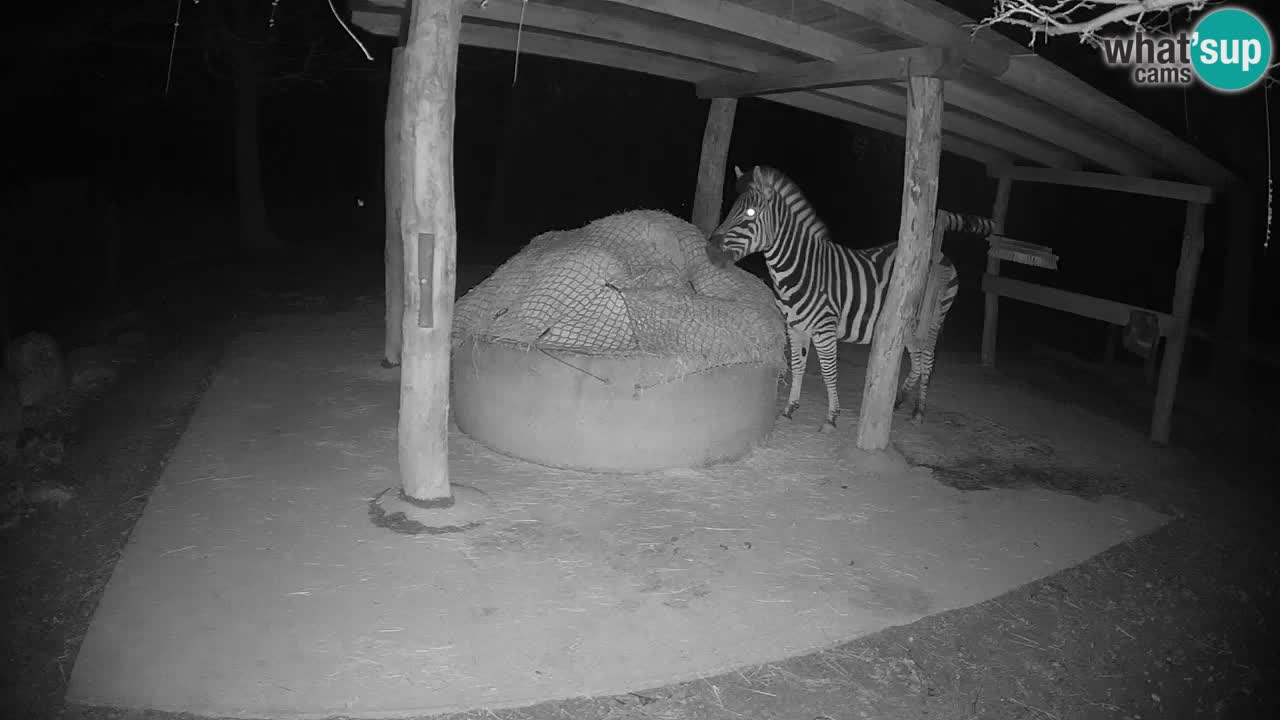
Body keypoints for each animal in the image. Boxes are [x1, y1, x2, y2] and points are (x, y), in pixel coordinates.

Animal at [707, 164, 962, 432]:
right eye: (732, 210)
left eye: (750, 212)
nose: (709, 250)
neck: (801, 269)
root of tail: (940, 255)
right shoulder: (795, 327)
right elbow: (798, 366)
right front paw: (789, 409)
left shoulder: (824, 329)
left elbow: (829, 372)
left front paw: (831, 417)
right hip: (909, 325)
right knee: (917, 359)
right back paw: (900, 400)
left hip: (932, 322)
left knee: (928, 360)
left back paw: (919, 411)